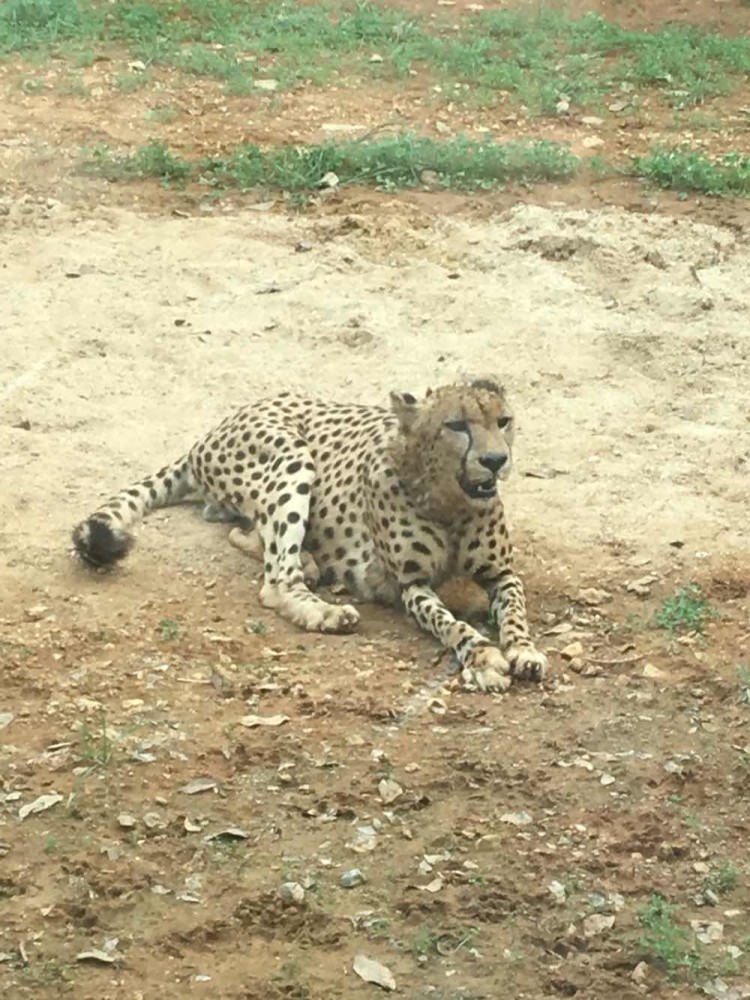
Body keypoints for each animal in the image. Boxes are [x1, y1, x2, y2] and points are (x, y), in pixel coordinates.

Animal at [73, 376, 548, 696]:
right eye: (457, 425)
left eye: (503, 421)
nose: (495, 460)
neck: (452, 501)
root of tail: (207, 434)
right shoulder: (411, 586)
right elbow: (450, 624)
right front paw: (483, 656)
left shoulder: (503, 573)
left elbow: (516, 611)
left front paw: (523, 651)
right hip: (290, 454)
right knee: (275, 578)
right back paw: (324, 609)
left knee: (239, 528)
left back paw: (308, 562)